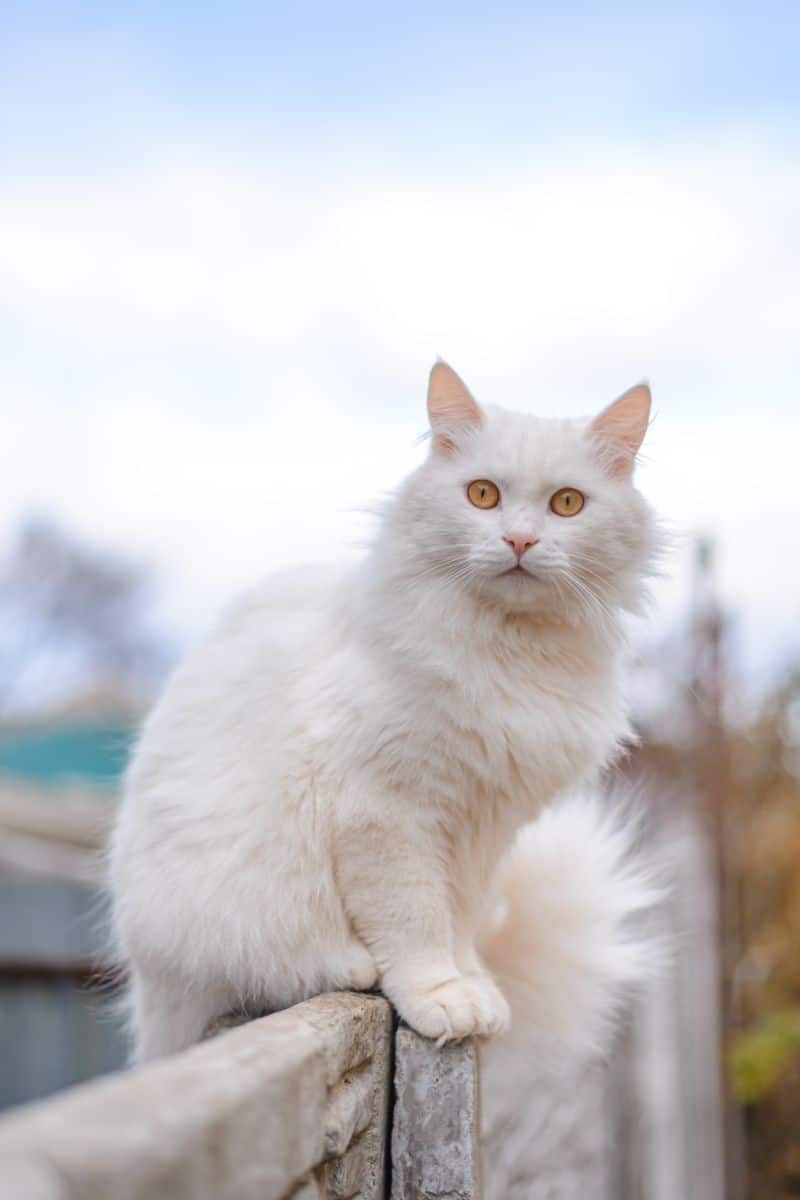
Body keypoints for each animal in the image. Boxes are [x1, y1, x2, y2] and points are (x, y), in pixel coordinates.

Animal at [109, 357, 666, 1070]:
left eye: (567, 503)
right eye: (482, 495)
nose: (519, 539)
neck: (510, 649)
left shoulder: (483, 829)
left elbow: (459, 921)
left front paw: (475, 985)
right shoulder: (386, 814)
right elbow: (415, 923)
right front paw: (441, 997)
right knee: (281, 968)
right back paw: (352, 965)